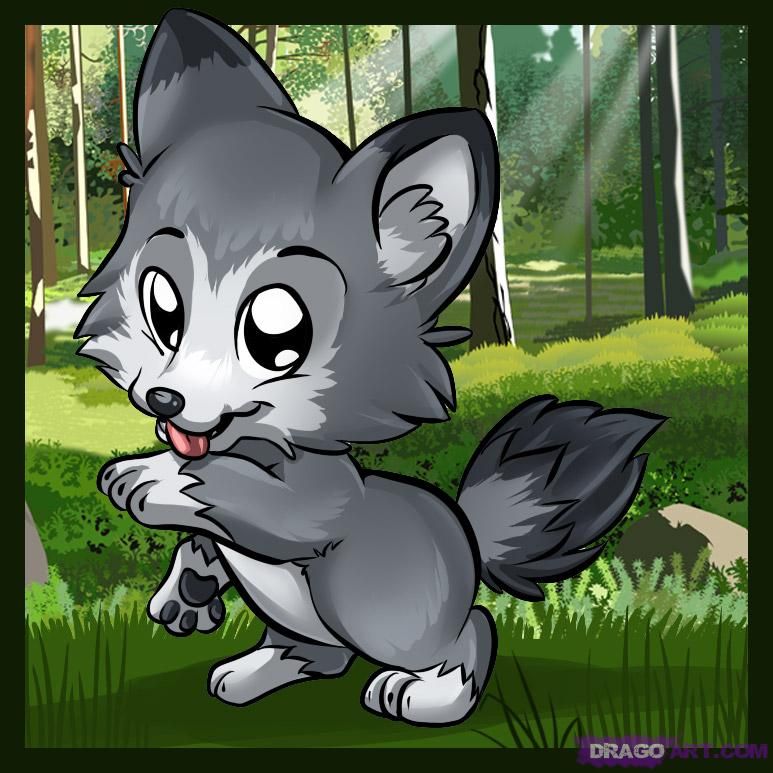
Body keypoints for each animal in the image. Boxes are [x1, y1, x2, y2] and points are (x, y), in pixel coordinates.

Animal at [76, 10, 664, 727]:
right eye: (163, 305)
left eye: (276, 335)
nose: (163, 399)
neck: (259, 444)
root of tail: (468, 538)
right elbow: (204, 537)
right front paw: (186, 590)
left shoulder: (320, 500)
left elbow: (252, 499)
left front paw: (150, 478)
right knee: (318, 655)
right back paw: (257, 671)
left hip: (372, 609)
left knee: (471, 631)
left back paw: (425, 693)